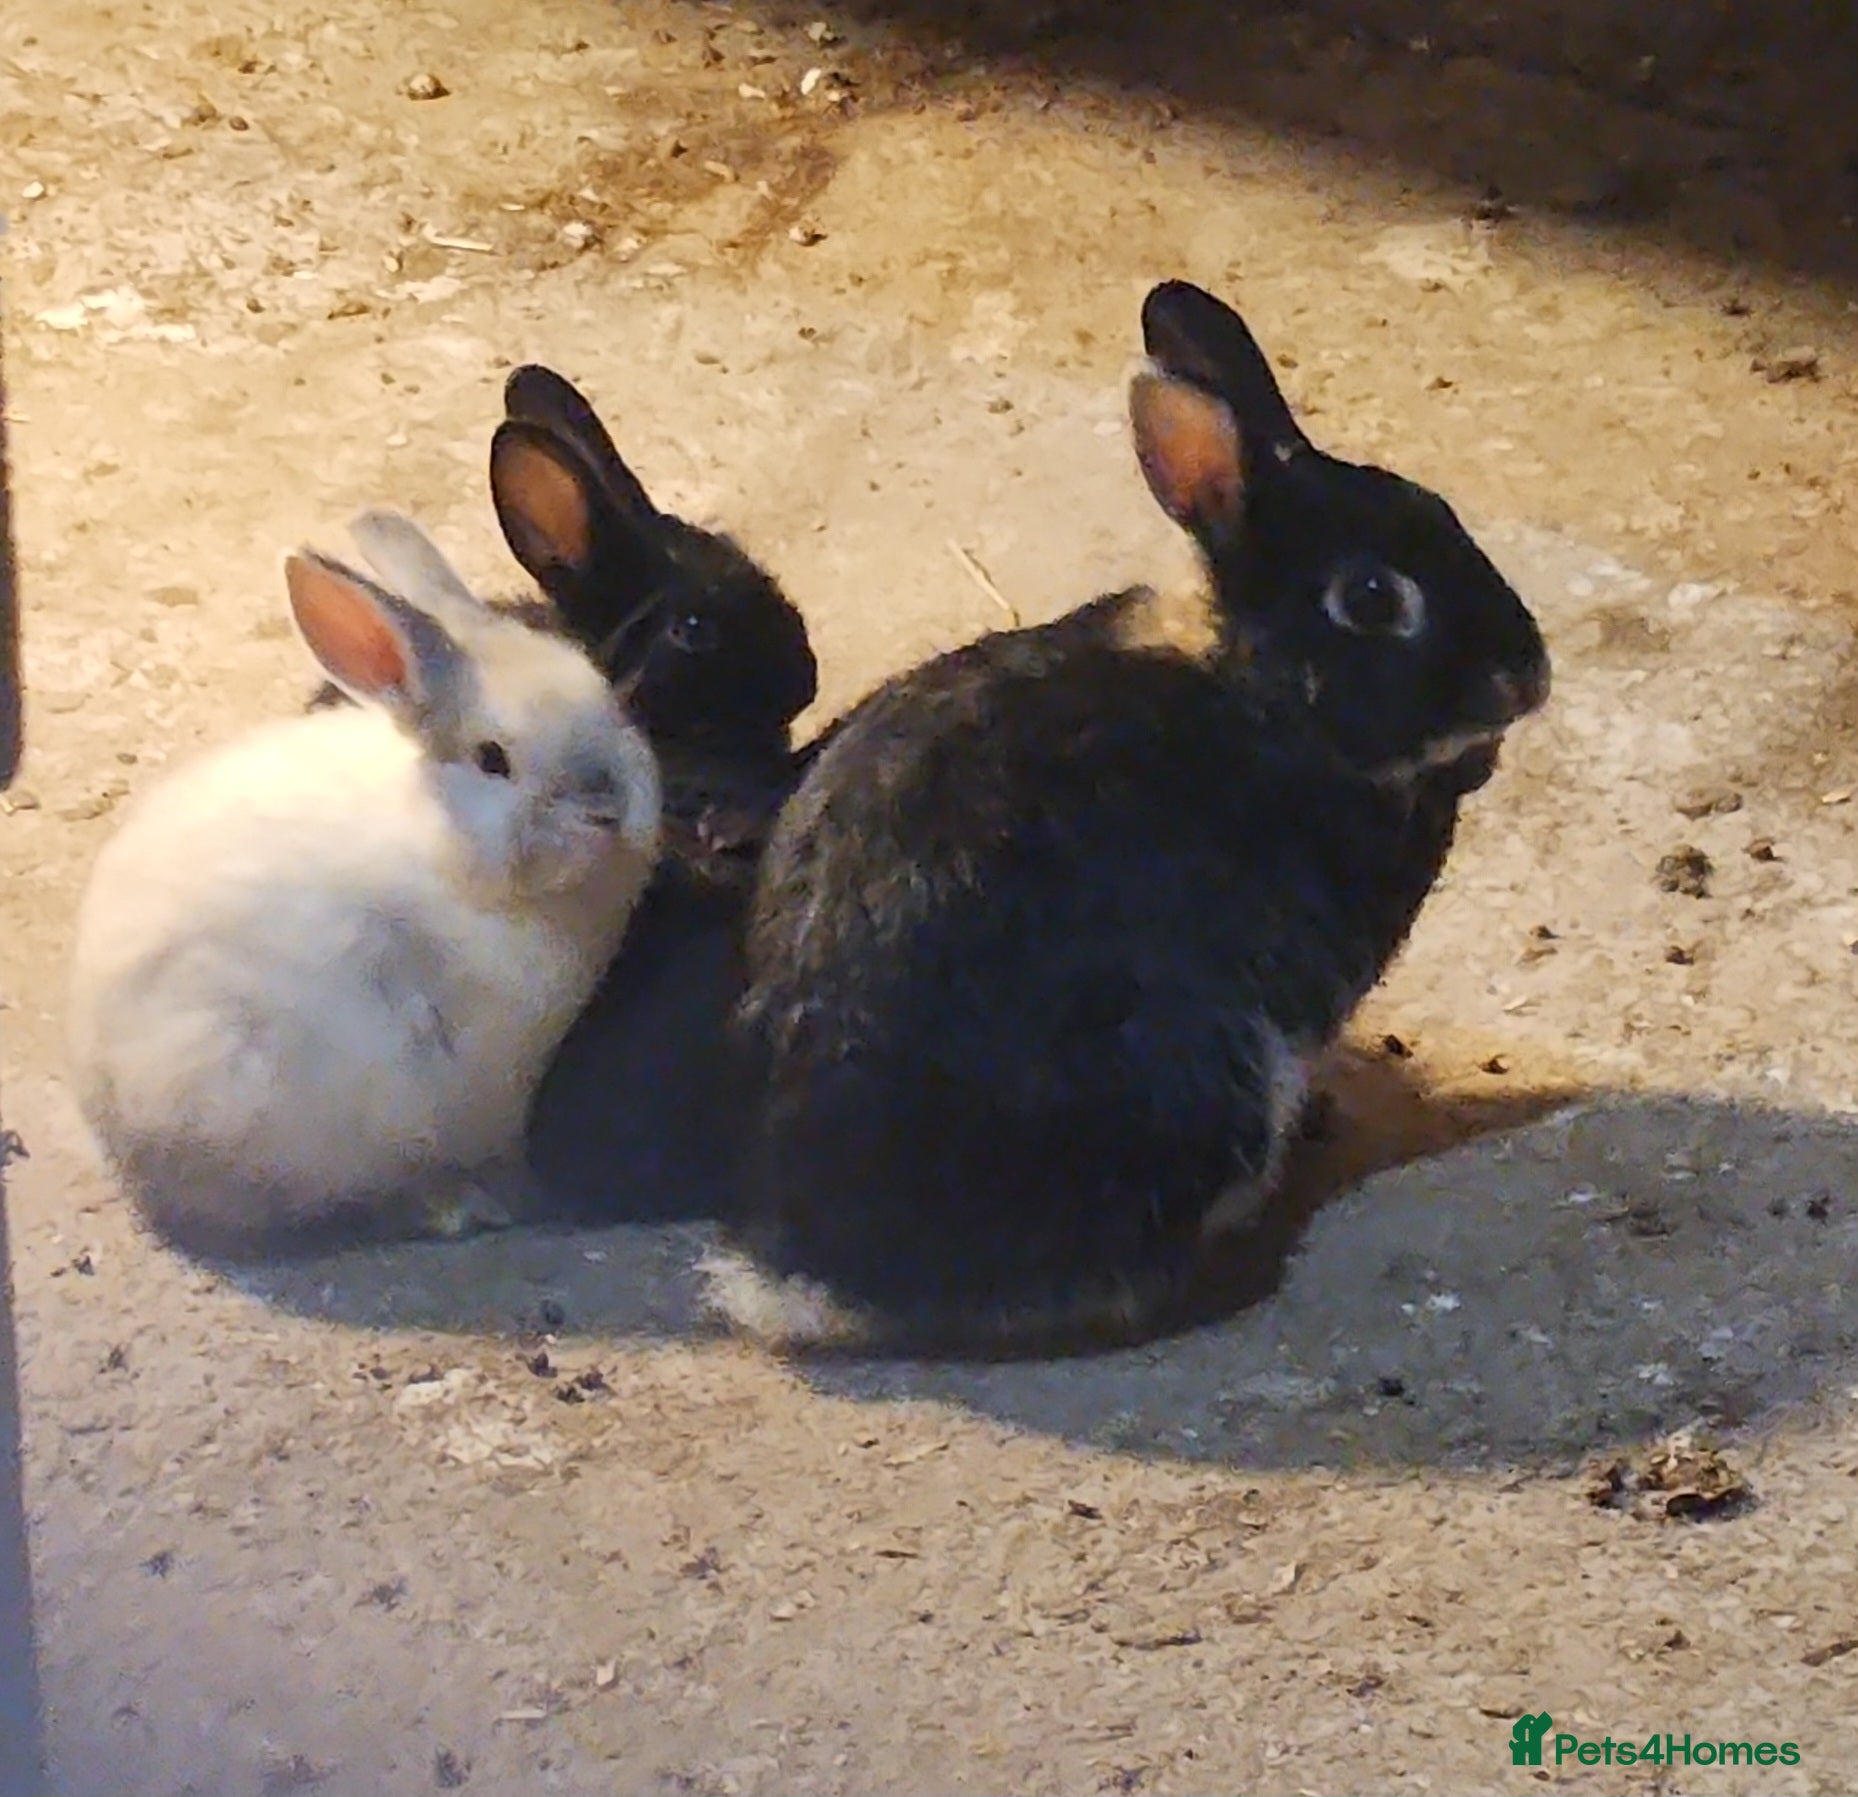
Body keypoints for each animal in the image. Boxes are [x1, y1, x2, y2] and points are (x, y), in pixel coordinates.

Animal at [700, 278, 1552, 1356]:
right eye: (1370, 596)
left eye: (1438, 508)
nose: (1526, 673)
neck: (1257, 691)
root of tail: (807, 1283)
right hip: (1205, 1083)